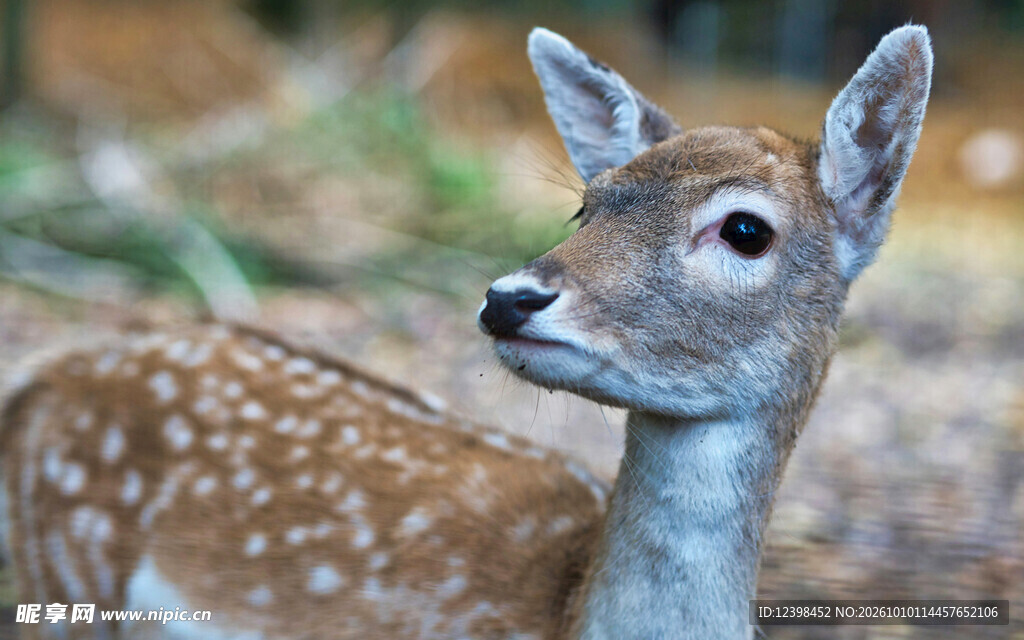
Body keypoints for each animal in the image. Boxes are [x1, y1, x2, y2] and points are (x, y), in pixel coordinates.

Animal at [0, 24, 932, 640]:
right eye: (586, 205)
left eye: (745, 229)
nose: (510, 297)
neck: (554, 609)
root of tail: (44, 382)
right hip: (64, 580)